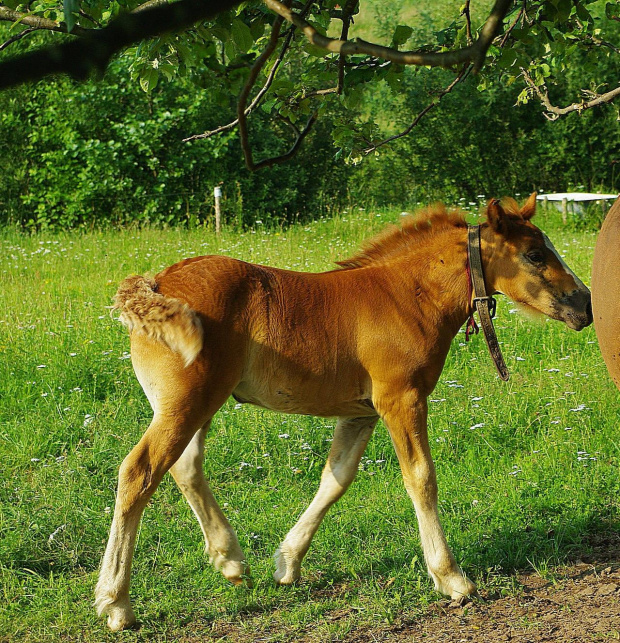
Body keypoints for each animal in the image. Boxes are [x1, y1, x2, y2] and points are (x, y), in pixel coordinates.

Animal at [95, 195, 592, 628]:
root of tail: (158, 281)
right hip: (188, 403)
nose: (584, 304)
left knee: (185, 467)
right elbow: (421, 478)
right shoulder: (401, 399)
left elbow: (336, 479)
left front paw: (287, 563)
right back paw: (116, 602)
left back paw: (231, 561)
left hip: (196, 404)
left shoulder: (362, 412)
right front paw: (451, 578)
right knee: (139, 472)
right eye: (534, 254)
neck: (407, 295)